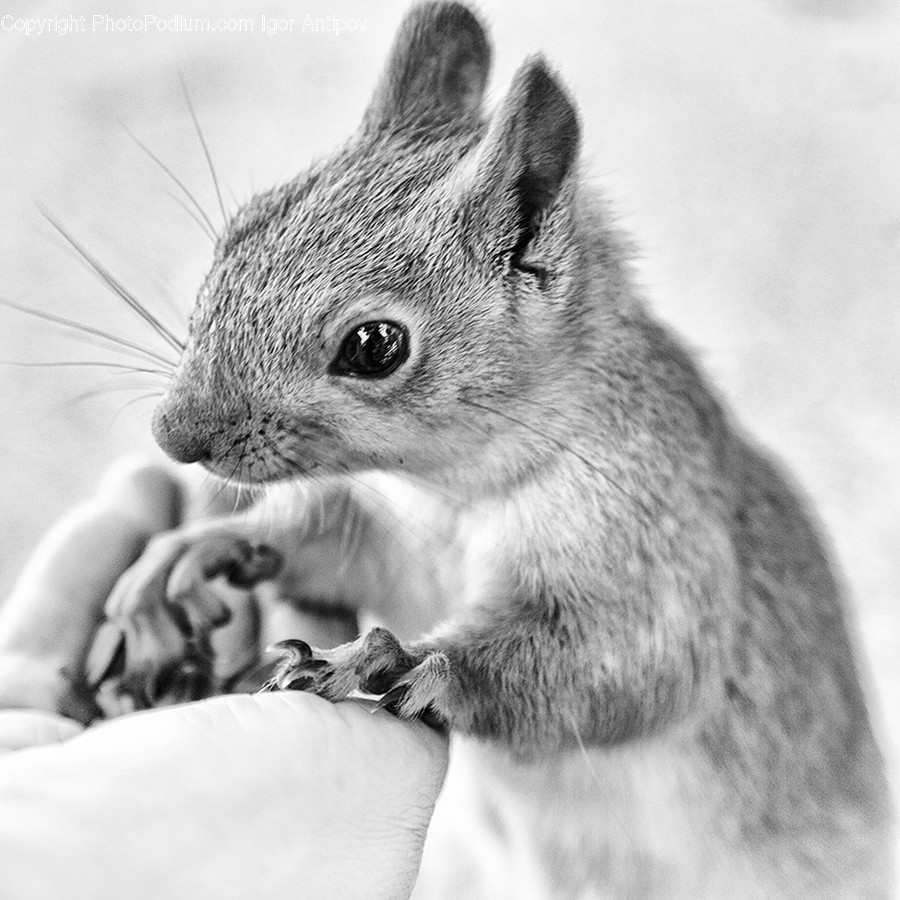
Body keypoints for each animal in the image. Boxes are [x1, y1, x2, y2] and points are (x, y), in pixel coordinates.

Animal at [78, 2, 893, 897]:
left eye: (376, 346)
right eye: (241, 229)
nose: (173, 434)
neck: (450, 494)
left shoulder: (654, 543)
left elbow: (631, 665)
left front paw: (394, 661)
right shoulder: (392, 545)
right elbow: (320, 545)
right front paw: (190, 555)